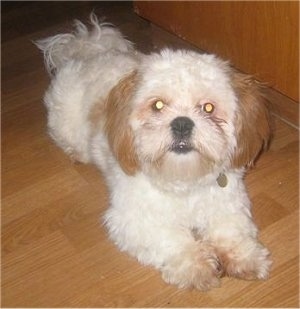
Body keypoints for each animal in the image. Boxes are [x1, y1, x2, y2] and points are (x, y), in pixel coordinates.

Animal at [36, 14, 274, 288]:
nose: (182, 123)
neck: (185, 181)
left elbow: (232, 231)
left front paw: (245, 257)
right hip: (65, 122)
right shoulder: (134, 220)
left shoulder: (229, 202)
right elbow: (172, 239)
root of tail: (90, 52)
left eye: (208, 108)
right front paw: (196, 265)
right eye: (158, 105)